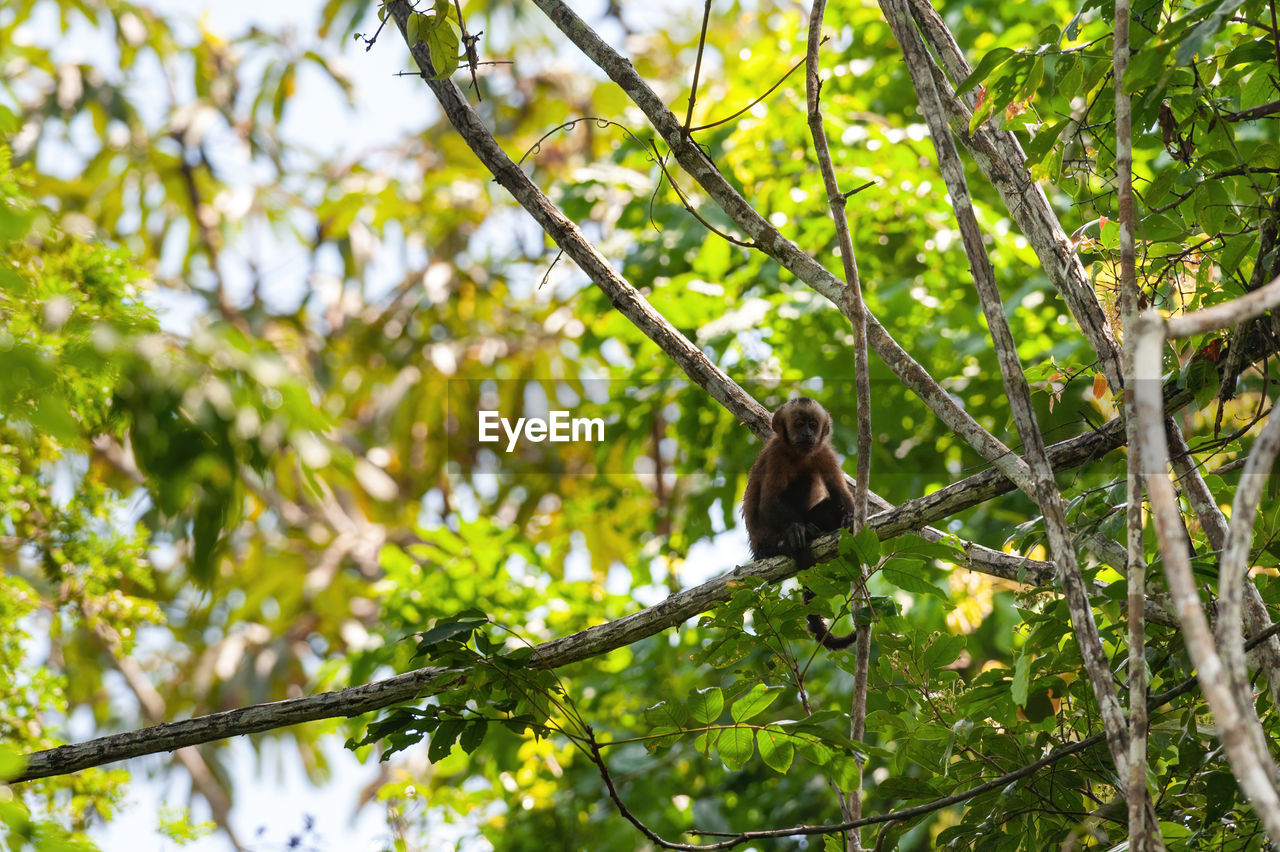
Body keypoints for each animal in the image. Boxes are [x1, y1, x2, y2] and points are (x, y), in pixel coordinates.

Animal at [742, 394, 860, 647]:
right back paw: (788, 540)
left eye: (812, 425)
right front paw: (795, 530)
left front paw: (849, 516)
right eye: (798, 424)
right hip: (764, 544)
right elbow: (768, 503)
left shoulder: (824, 452)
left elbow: (839, 492)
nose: (807, 434)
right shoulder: (776, 454)